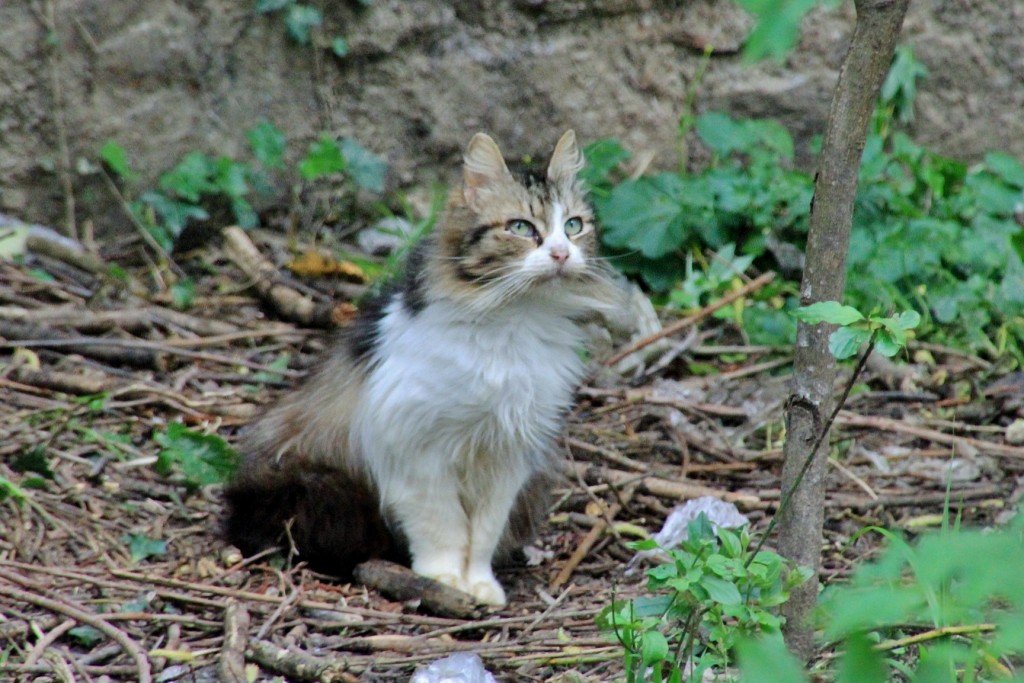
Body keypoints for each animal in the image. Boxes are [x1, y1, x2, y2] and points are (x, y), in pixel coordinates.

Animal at [225, 131, 618, 606]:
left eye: (574, 226)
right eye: (522, 228)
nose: (561, 253)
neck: (515, 320)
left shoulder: (509, 452)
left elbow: (484, 530)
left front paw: (480, 584)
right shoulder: (416, 446)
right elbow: (441, 524)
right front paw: (444, 579)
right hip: (312, 486)